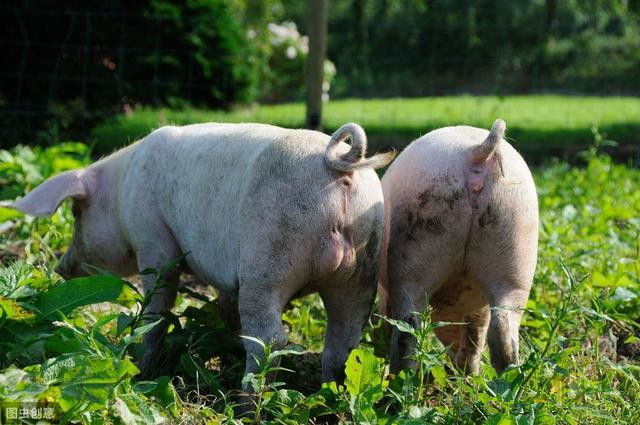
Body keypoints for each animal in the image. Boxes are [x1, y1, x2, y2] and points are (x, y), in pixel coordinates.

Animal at [7, 121, 392, 384]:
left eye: (76, 213)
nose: (61, 268)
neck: (119, 191)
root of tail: (339, 164)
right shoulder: (225, 279)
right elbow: (224, 309)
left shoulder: (152, 240)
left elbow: (157, 309)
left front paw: (141, 370)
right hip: (363, 266)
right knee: (344, 339)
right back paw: (330, 391)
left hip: (268, 261)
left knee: (270, 338)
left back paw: (247, 402)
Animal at [380, 120, 540, 374]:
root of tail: (476, 153)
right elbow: (476, 334)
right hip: (515, 251)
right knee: (503, 329)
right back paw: (504, 380)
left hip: (413, 253)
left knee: (407, 329)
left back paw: (398, 381)